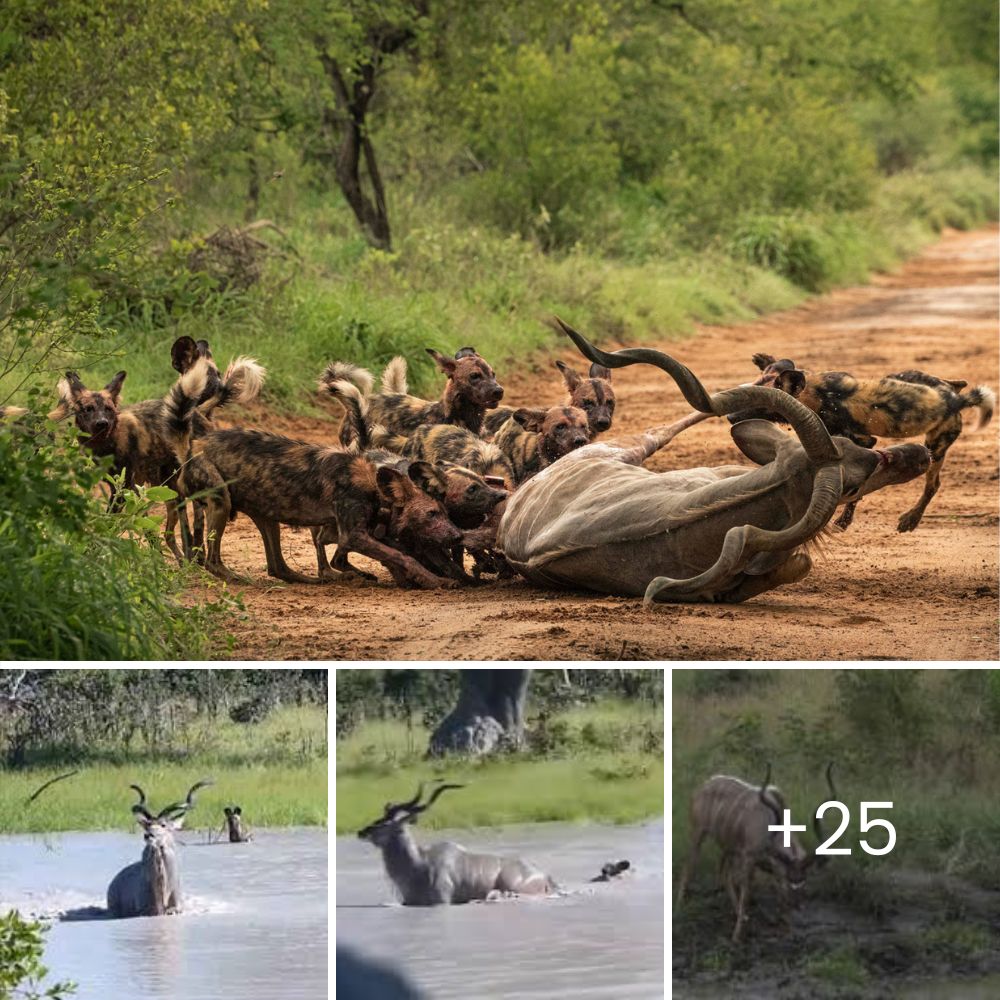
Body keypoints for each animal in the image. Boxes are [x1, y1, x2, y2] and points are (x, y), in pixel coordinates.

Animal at [165, 356, 458, 584]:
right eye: (432, 513)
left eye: (445, 511)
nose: (456, 535)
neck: (372, 480)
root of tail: (191, 449)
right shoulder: (353, 536)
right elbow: (403, 557)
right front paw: (435, 580)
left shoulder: (338, 531)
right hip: (221, 502)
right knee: (213, 561)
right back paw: (237, 578)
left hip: (266, 513)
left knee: (278, 567)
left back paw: (311, 579)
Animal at [732, 356, 996, 536]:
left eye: (761, 404)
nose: (731, 416)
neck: (817, 393)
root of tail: (956, 400)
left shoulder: (862, 440)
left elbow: (856, 489)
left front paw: (844, 520)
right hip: (911, 377)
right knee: (957, 382)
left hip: (935, 447)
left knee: (933, 485)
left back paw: (910, 519)